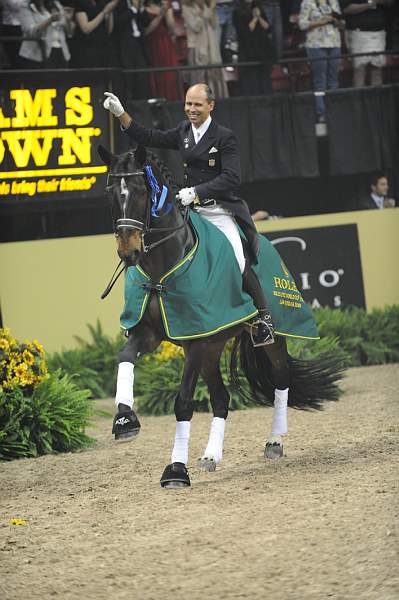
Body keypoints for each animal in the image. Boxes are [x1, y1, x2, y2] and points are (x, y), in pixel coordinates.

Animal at [98, 144, 346, 488]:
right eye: (110, 193)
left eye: (140, 191)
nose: (128, 252)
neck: (161, 267)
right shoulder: (151, 333)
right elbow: (125, 356)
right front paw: (125, 420)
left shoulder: (197, 341)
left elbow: (183, 402)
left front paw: (176, 471)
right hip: (212, 348)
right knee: (221, 398)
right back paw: (211, 456)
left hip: (265, 338)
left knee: (281, 377)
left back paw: (274, 441)